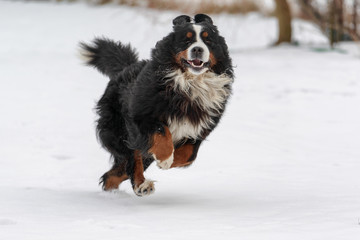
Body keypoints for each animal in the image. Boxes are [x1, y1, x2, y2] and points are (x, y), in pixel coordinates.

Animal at [79, 14, 233, 196]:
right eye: (186, 40)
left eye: (208, 41)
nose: (197, 49)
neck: (189, 83)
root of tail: (126, 68)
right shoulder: (141, 116)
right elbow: (161, 132)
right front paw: (165, 159)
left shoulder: (198, 130)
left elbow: (188, 155)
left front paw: (168, 161)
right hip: (121, 132)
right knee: (132, 160)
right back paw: (140, 185)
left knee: (113, 174)